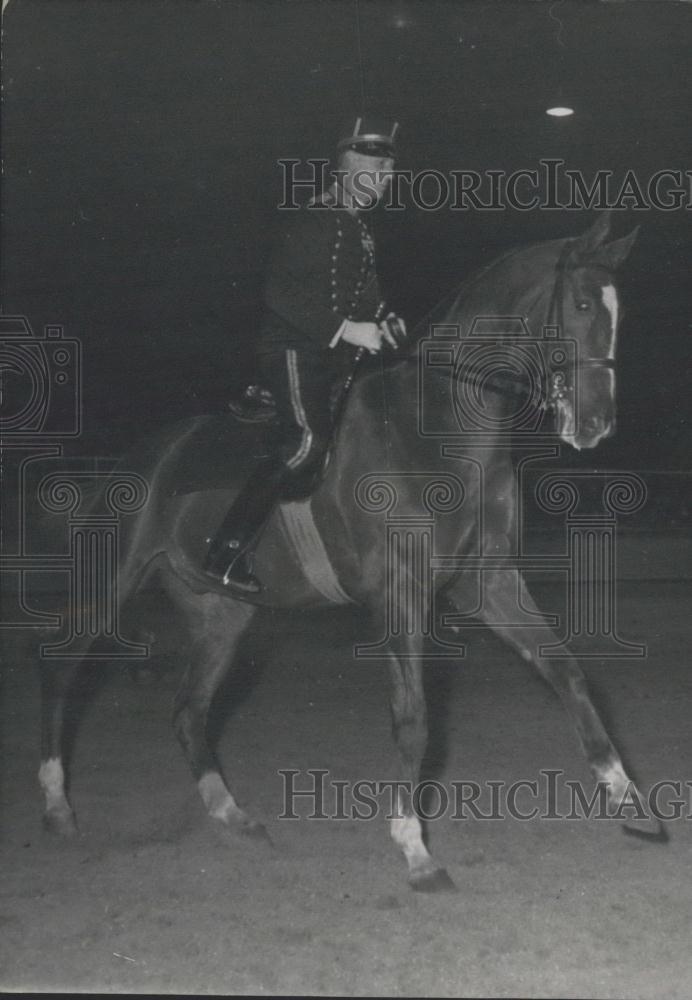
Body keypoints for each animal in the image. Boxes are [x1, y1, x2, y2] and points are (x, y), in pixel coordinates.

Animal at [39, 213, 660, 892]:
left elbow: (567, 672)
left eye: (620, 312)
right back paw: (57, 806)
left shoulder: (489, 581)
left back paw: (233, 816)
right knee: (62, 669)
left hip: (222, 615)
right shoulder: (400, 594)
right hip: (111, 584)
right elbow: (413, 719)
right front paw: (415, 849)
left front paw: (628, 798)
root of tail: (146, 456)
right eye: (582, 305)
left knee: (188, 710)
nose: (596, 424)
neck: (435, 428)